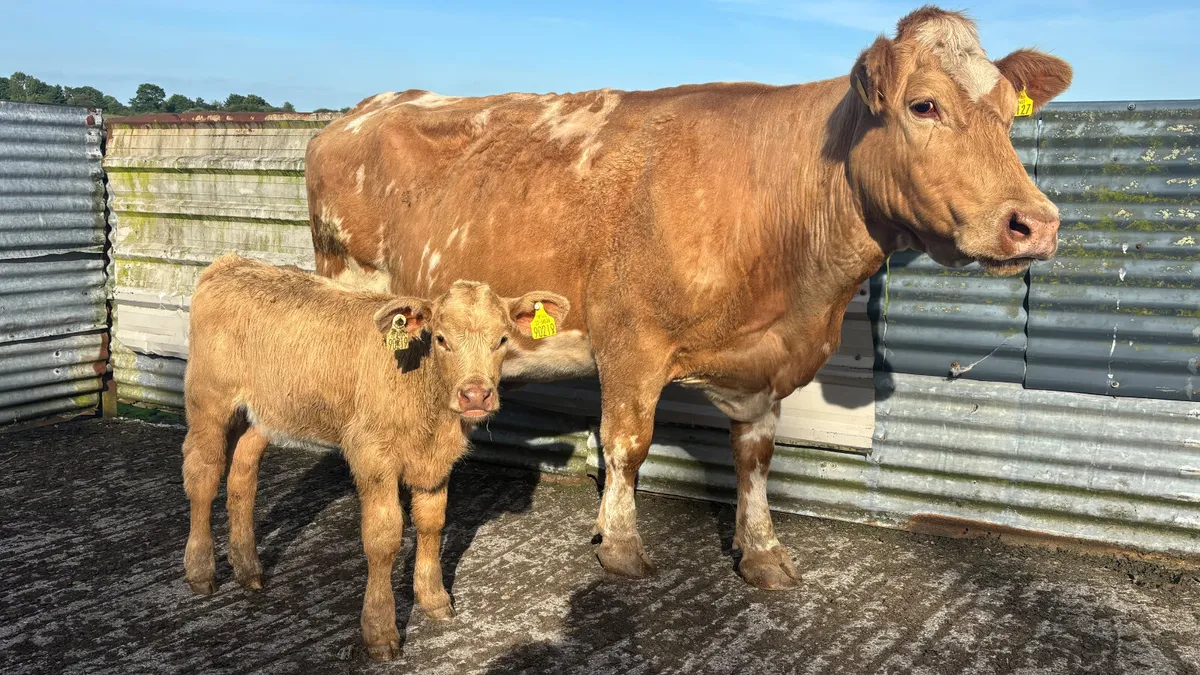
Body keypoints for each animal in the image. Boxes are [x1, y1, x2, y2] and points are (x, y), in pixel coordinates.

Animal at [180, 254, 569, 660]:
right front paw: (381, 631)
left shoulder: (437, 462)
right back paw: (201, 572)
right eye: (441, 339)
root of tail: (232, 262)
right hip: (208, 402)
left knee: (242, 477)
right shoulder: (372, 455)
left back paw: (248, 569)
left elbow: (432, 523)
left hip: (265, 413)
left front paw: (434, 598)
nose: (475, 395)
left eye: (502, 339)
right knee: (203, 476)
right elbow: (384, 538)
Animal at [303, 6, 1072, 590]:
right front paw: (619, 545)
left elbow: (755, 458)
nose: (1034, 223)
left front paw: (762, 554)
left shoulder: (764, 364)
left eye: (1008, 114)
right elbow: (627, 443)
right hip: (353, 284)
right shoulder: (630, 340)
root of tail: (359, 112)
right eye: (923, 104)